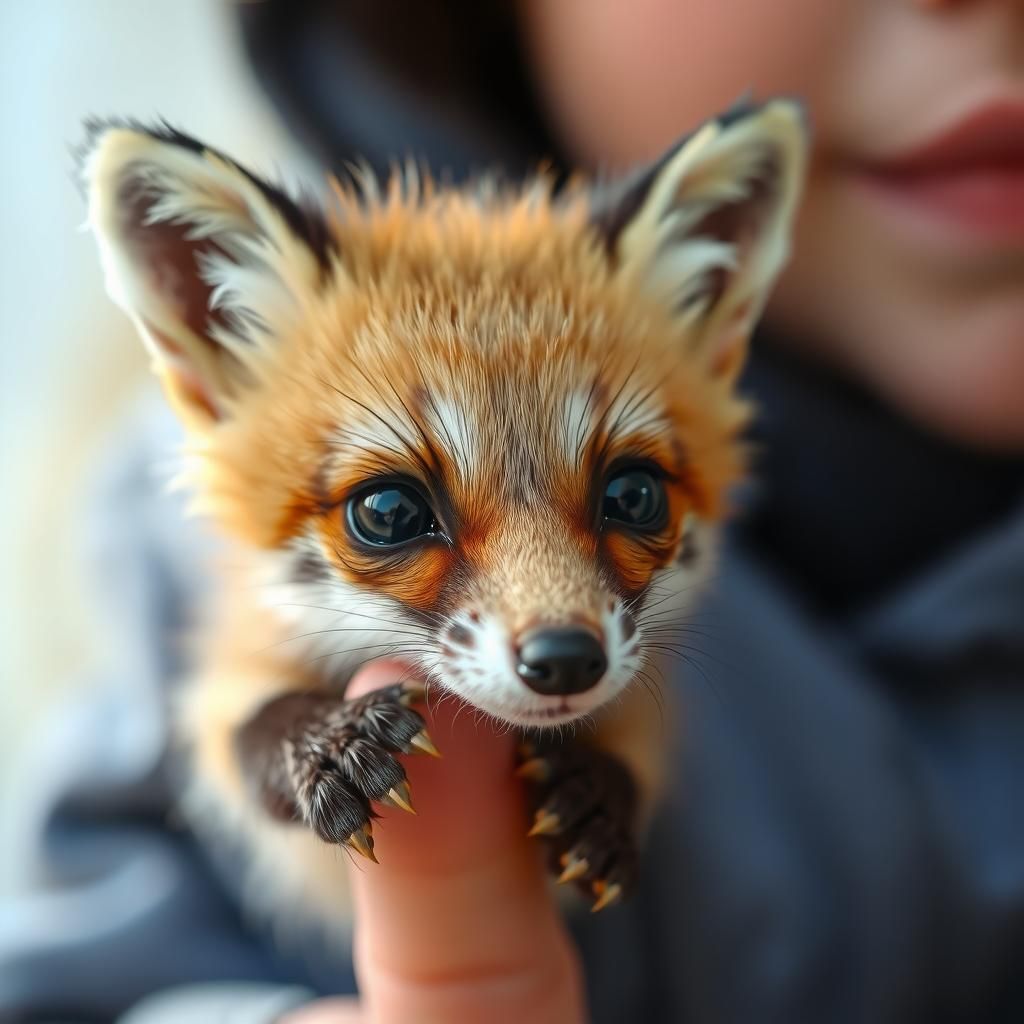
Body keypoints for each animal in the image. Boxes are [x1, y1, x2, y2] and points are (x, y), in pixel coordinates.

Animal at [80, 99, 806, 929]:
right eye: (391, 511)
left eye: (633, 495)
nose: (565, 660)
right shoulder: (227, 670)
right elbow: (233, 732)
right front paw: (321, 744)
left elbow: (636, 756)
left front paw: (598, 794)